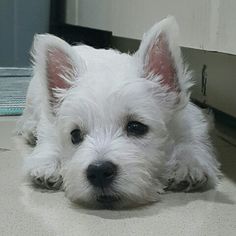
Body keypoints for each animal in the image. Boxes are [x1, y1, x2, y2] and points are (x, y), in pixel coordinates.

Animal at [17, 16, 221, 208]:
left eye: (136, 127)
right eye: (75, 135)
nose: (99, 171)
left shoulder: (188, 118)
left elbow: (191, 140)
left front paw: (189, 165)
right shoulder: (50, 122)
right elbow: (50, 138)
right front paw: (47, 163)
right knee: (28, 118)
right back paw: (31, 131)